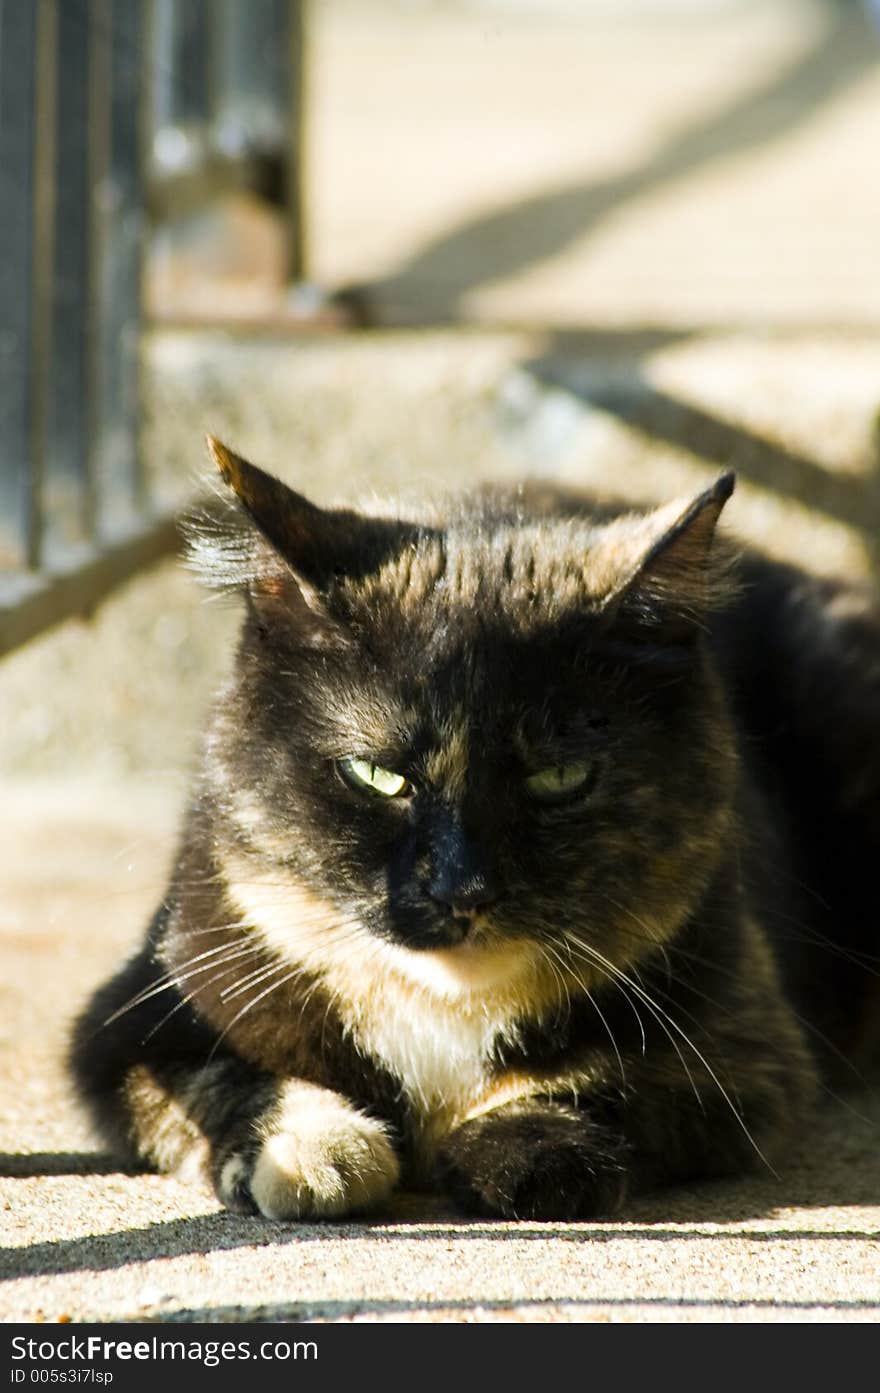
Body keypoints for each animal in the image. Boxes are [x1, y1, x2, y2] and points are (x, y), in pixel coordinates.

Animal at [70, 440, 880, 1225]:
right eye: (374, 774)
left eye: (561, 776)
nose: (461, 889)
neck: (446, 1013)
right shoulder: (132, 1019)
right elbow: (229, 1079)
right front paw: (318, 1154)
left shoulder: (747, 1049)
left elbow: (605, 1077)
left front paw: (527, 1153)